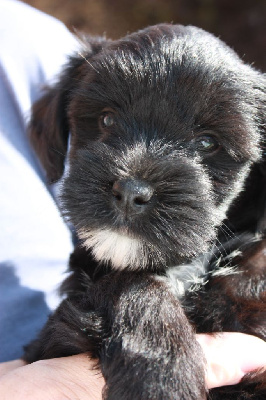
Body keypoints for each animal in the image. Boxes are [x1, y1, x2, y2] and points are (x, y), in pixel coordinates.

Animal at [23, 25, 264, 400]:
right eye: (107, 119)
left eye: (208, 142)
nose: (130, 191)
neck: (183, 272)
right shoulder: (52, 340)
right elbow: (134, 282)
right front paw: (163, 377)